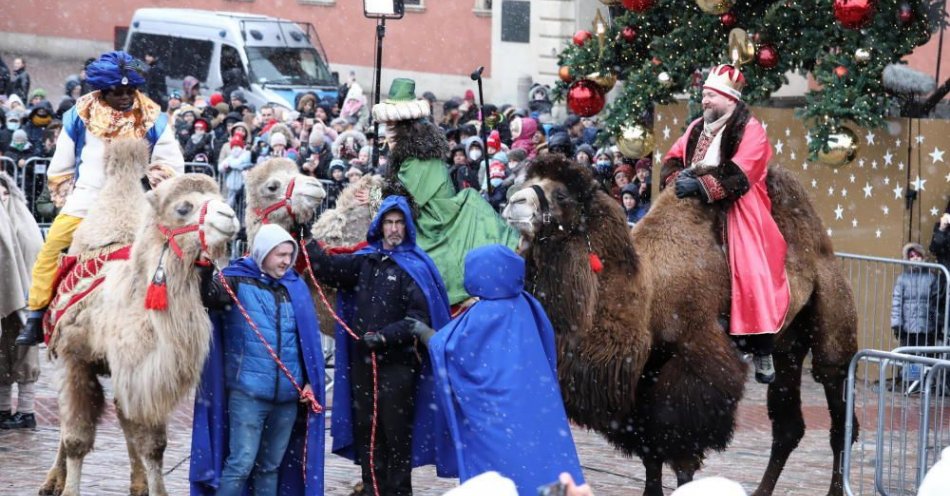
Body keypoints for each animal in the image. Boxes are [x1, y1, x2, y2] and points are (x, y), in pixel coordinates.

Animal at [39, 140, 242, 496]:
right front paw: (69, 489)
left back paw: (136, 483)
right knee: (68, 423)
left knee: (122, 416)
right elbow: (76, 437)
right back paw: (52, 481)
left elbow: (152, 443)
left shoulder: (144, 370)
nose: (229, 216)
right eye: (184, 207)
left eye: (218, 198)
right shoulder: (75, 357)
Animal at [502, 155, 860, 496]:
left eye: (561, 194)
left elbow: (682, 450)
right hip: (789, 346)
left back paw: (833, 490)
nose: (512, 201)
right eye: (530, 181)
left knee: (837, 406)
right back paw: (762, 490)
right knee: (788, 425)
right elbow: (650, 450)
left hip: (833, 324)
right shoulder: (642, 382)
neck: (648, 294)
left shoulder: (695, 364)